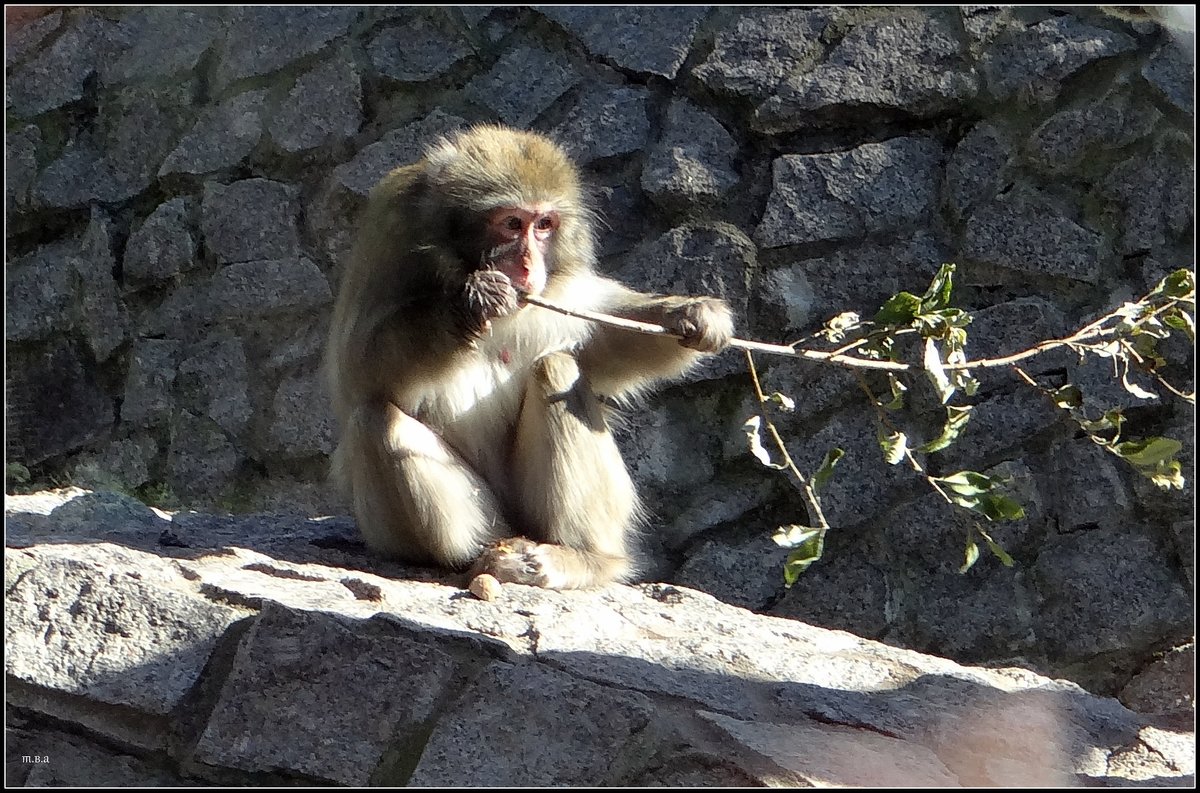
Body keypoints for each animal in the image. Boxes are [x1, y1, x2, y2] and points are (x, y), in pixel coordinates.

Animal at [326, 125, 729, 587]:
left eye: (544, 225)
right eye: (512, 223)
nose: (528, 263)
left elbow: (598, 333)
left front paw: (690, 313)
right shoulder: (388, 234)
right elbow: (355, 365)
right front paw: (468, 306)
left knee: (557, 368)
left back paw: (583, 557)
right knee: (377, 420)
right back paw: (478, 556)